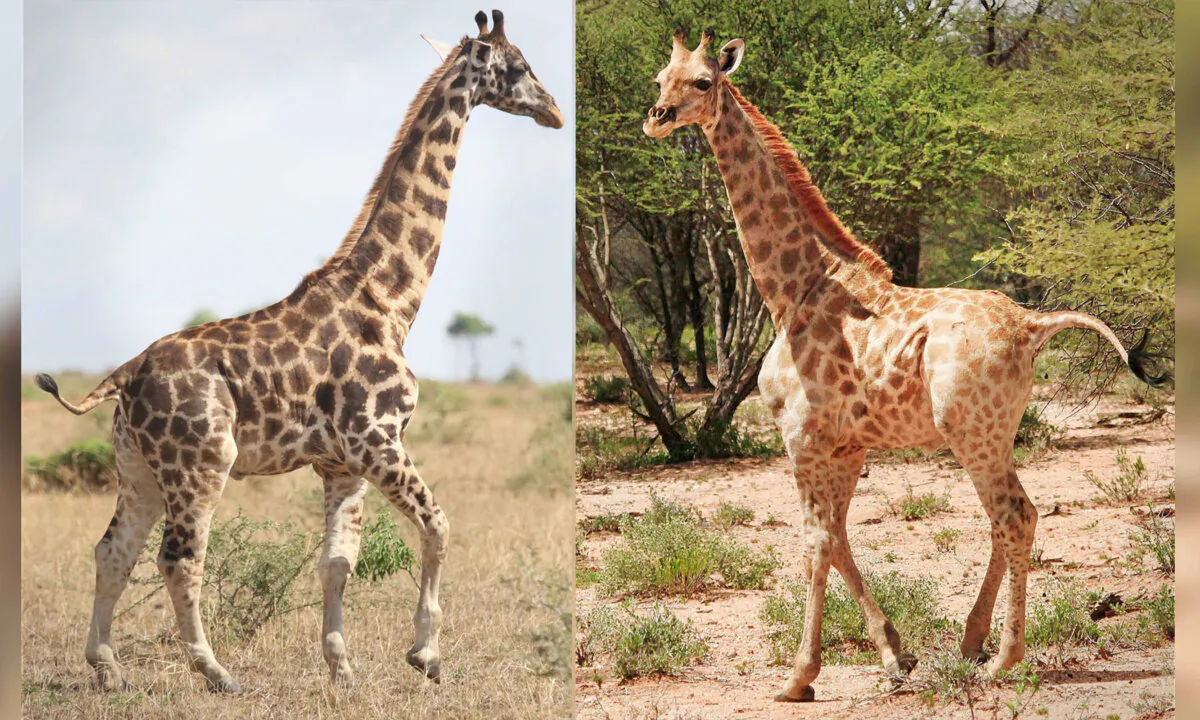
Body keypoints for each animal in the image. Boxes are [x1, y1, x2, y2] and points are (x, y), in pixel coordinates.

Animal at [36, 10, 562, 694]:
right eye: (519, 65)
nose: (554, 111)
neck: (390, 302)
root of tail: (125, 375)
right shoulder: (377, 438)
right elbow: (439, 525)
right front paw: (425, 655)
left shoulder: (341, 462)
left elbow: (337, 562)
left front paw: (343, 668)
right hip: (201, 463)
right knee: (179, 557)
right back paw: (216, 672)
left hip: (138, 468)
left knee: (113, 550)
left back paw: (108, 670)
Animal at [644, 29, 1168, 702]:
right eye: (660, 78)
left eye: (703, 81)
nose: (657, 117)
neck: (792, 289)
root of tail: (1032, 326)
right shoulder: (847, 445)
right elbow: (839, 538)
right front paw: (896, 656)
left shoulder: (800, 437)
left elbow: (815, 543)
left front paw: (798, 677)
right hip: (996, 431)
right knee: (1004, 518)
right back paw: (972, 643)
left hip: (969, 431)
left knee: (1015, 515)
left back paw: (1003, 661)